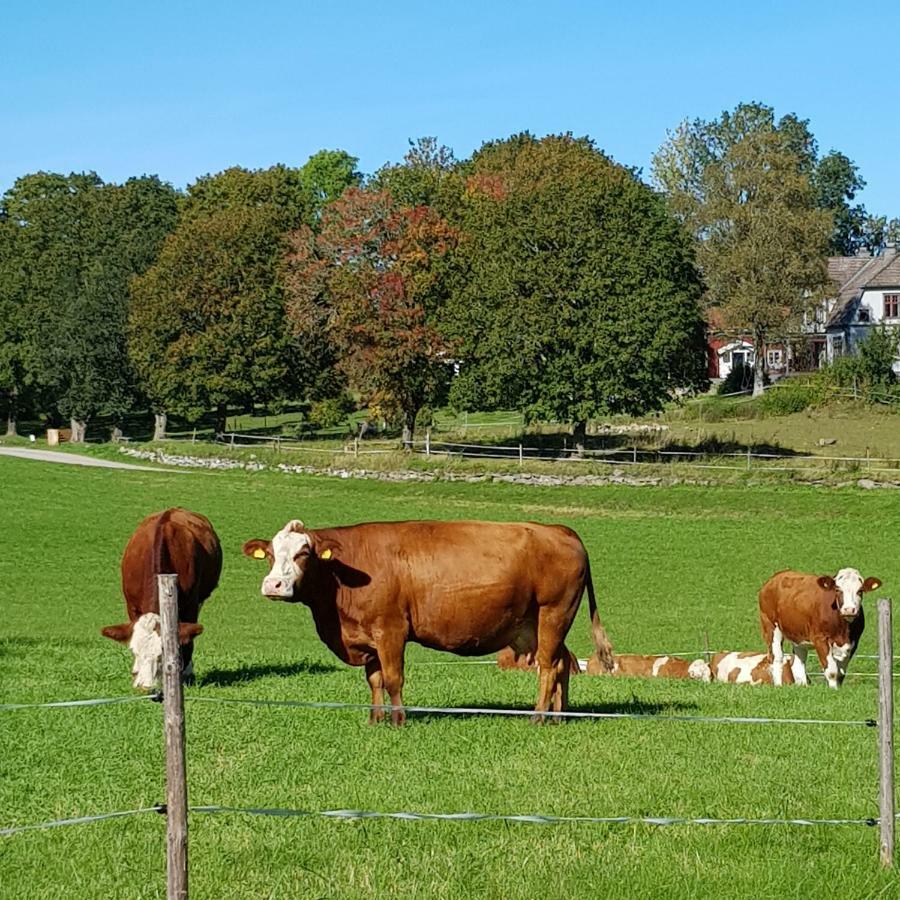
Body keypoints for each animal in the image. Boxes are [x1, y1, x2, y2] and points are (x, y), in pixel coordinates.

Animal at [100, 506, 221, 688]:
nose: (145, 686)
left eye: (161, 654)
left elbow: (188, 639)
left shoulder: (192, 604)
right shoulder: (131, 605)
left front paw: (184, 674)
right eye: (133, 650)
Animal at [243, 520, 616, 724]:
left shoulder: (391, 629)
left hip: (554, 613)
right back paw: (559, 717)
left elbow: (393, 679)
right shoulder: (368, 637)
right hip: (536, 625)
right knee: (563, 662)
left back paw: (538, 717)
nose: (273, 585)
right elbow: (375, 680)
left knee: (549, 667)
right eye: (271, 555)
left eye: (304, 553)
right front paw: (375, 718)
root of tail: (558, 529)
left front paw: (398, 719)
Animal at [756, 568, 884, 688]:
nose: (849, 609)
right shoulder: (820, 639)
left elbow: (841, 672)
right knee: (776, 658)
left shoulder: (853, 642)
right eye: (838, 590)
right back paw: (778, 686)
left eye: (860, 591)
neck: (843, 630)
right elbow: (832, 671)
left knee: (798, 664)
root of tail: (775, 577)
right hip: (770, 626)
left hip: (799, 636)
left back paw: (803, 686)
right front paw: (833, 690)